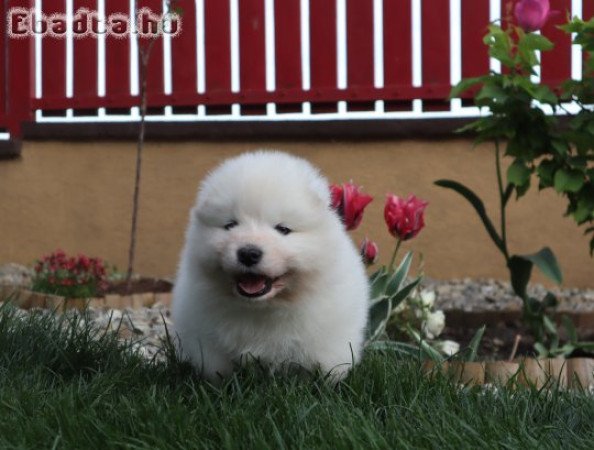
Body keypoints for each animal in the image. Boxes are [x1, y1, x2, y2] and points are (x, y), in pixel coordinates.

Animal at [169, 152, 368, 384]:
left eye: (283, 229)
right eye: (230, 225)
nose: (248, 253)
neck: (264, 307)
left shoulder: (327, 340)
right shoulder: (207, 341)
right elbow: (217, 369)